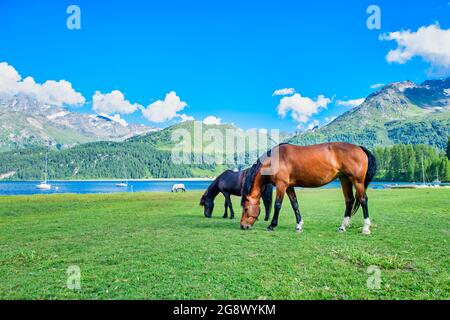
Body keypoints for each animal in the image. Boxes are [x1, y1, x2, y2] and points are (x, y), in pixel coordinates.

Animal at [239, 142, 376, 235]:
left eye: (245, 208)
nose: (243, 226)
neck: (275, 160)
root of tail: (359, 148)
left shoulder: (281, 185)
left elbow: (277, 204)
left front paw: (272, 225)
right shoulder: (289, 187)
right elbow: (295, 205)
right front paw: (299, 226)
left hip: (357, 181)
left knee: (363, 200)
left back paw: (365, 228)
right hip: (345, 179)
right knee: (349, 200)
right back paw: (343, 227)